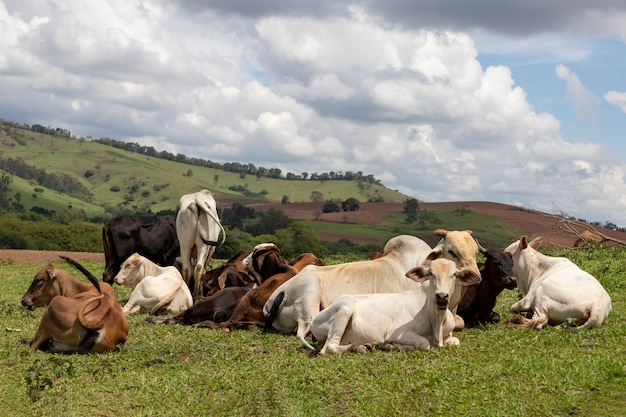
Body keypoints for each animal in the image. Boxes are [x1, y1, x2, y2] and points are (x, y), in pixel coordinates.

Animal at [260, 232, 476, 350]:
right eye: (452, 251)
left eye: (475, 252)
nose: (476, 274)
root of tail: (276, 296)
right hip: (309, 302)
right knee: (304, 332)